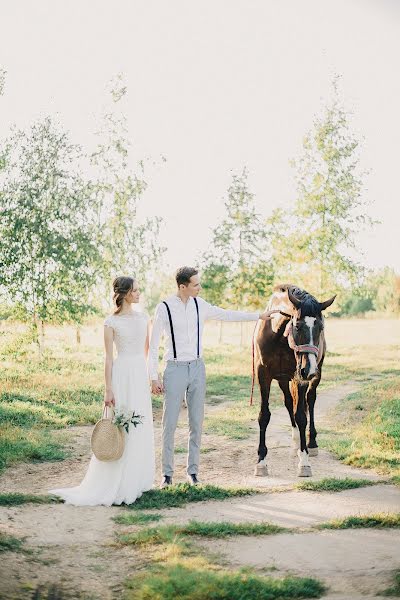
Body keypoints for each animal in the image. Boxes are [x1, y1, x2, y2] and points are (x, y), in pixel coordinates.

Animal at [253, 284, 334, 478]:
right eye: (297, 326)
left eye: (321, 327)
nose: (309, 369)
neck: (278, 336)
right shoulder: (263, 375)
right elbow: (264, 416)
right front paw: (261, 462)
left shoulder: (300, 378)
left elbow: (301, 417)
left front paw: (304, 462)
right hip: (284, 379)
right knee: (289, 402)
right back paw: (296, 441)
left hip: (314, 375)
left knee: (310, 401)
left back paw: (311, 443)